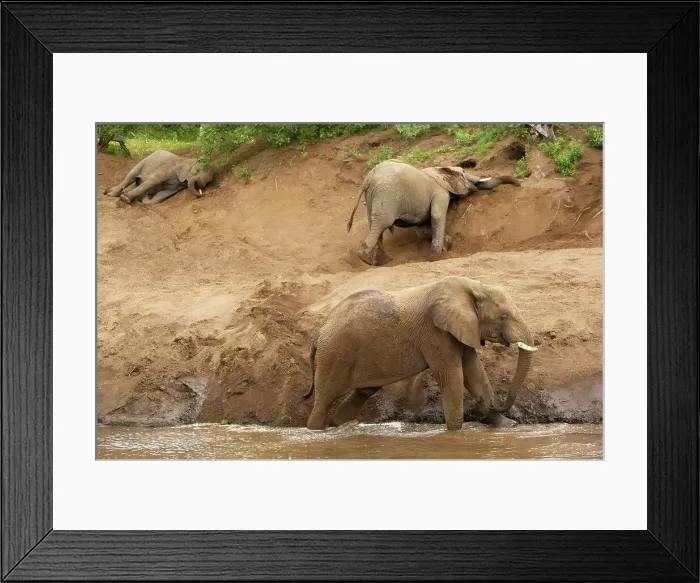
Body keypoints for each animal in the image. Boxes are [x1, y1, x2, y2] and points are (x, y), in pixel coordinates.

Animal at [301, 276, 537, 431]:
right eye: (503, 317)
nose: (497, 405)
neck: (475, 286)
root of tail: (319, 332)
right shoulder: (435, 333)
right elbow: (452, 376)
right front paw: (455, 432)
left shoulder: (462, 328)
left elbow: (475, 374)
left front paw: (508, 426)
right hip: (334, 355)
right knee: (324, 400)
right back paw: (316, 429)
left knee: (363, 392)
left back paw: (340, 425)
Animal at [346, 159, 521, 265]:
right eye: (464, 173)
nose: (519, 184)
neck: (441, 169)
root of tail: (368, 177)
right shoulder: (440, 192)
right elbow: (436, 216)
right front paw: (436, 256)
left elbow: (422, 228)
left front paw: (446, 244)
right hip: (386, 194)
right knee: (382, 223)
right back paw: (366, 259)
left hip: (373, 197)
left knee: (375, 224)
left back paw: (380, 261)